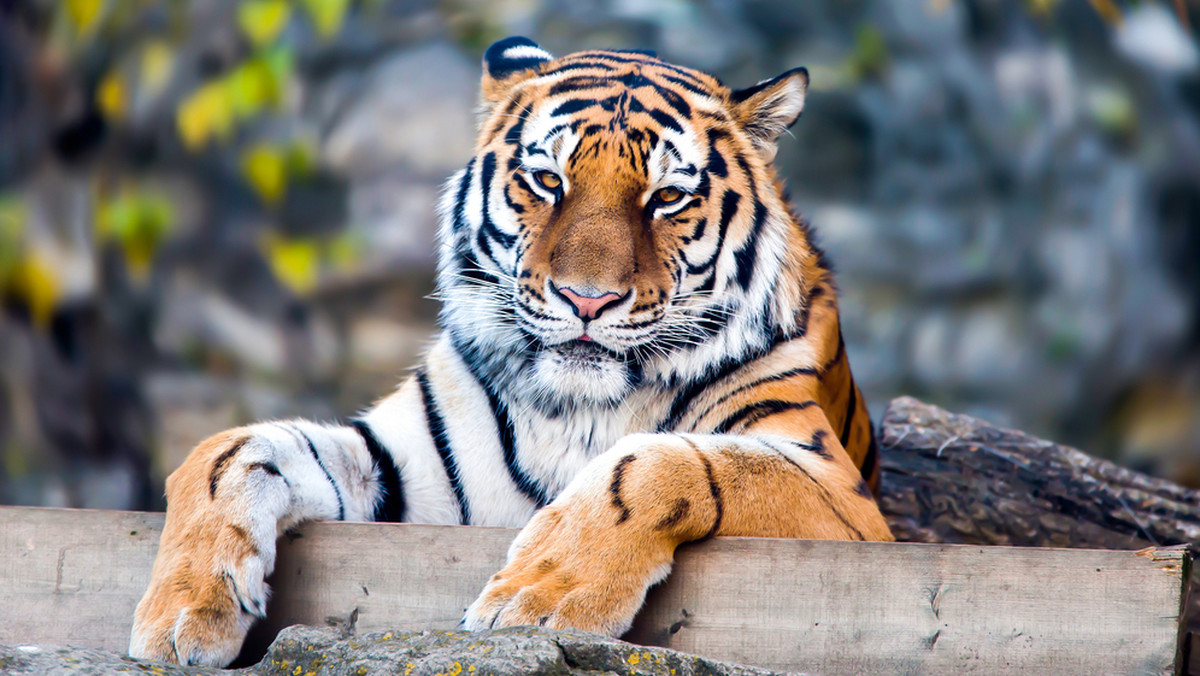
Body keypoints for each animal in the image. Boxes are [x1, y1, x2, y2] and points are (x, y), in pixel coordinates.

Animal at [126, 35, 897, 667]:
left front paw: (538, 597)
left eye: (667, 198)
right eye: (549, 181)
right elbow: (227, 450)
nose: (587, 299)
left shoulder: (843, 500)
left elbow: (658, 460)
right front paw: (179, 614)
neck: (578, 408)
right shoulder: (407, 475)